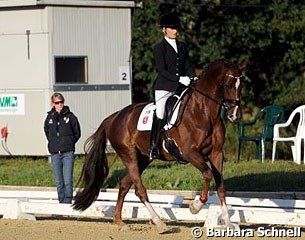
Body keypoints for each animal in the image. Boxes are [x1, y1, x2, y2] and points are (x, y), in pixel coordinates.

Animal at [72, 58, 243, 232]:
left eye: (241, 85)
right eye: (228, 84)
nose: (234, 116)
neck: (204, 112)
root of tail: (114, 117)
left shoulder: (216, 153)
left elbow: (221, 186)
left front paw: (228, 223)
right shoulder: (189, 153)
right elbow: (207, 174)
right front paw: (195, 207)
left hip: (144, 158)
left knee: (125, 184)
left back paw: (119, 220)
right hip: (128, 154)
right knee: (139, 189)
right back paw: (159, 223)